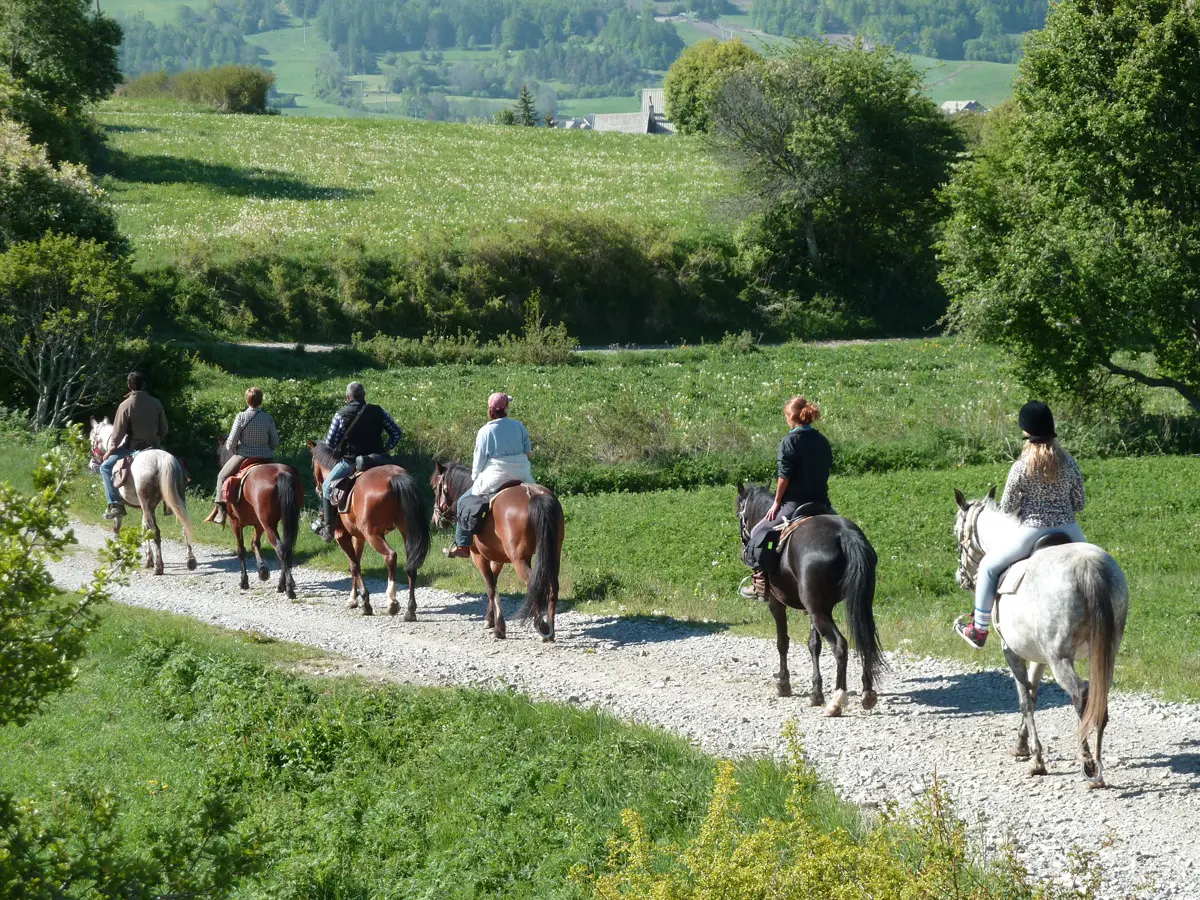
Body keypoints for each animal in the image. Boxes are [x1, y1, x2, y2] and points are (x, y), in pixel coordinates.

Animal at [214, 441, 302, 600]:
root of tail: (282, 473)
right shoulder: (258, 524)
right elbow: (255, 543)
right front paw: (262, 570)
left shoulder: (235, 522)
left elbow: (241, 550)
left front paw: (244, 581)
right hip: (282, 521)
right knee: (287, 548)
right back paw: (284, 584)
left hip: (268, 525)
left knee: (280, 549)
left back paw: (287, 588)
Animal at [309, 441, 432, 619]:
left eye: (313, 465)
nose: (317, 488)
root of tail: (394, 477)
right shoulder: (358, 537)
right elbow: (356, 563)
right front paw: (353, 599)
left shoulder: (342, 536)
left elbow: (354, 565)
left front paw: (364, 602)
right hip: (406, 531)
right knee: (411, 564)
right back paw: (410, 610)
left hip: (373, 535)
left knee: (391, 556)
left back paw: (392, 602)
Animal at [432, 460, 561, 643]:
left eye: (435, 487)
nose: (435, 518)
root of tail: (533, 494)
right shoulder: (497, 557)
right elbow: (493, 582)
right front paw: (490, 619)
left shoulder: (478, 556)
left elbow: (490, 587)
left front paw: (499, 628)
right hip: (554, 553)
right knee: (552, 586)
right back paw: (550, 629)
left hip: (520, 560)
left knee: (534, 585)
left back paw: (541, 626)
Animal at [729, 487, 883, 720]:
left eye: (740, 514)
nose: (742, 550)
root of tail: (844, 535)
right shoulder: (813, 608)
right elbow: (814, 645)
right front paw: (815, 693)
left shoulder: (776, 603)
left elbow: (782, 642)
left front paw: (784, 685)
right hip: (853, 605)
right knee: (865, 639)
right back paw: (867, 694)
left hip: (820, 612)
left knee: (840, 645)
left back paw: (836, 702)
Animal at [950, 487, 1128, 787]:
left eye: (956, 534)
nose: (960, 577)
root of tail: (1089, 567)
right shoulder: (1038, 655)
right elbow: (1033, 693)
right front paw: (1022, 746)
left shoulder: (1012, 651)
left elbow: (1024, 698)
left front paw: (1036, 759)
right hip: (1106, 652)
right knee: (1099, 697)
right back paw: (1098, 767)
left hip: (1061, 658)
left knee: (1081, 694)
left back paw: (1088, 762)